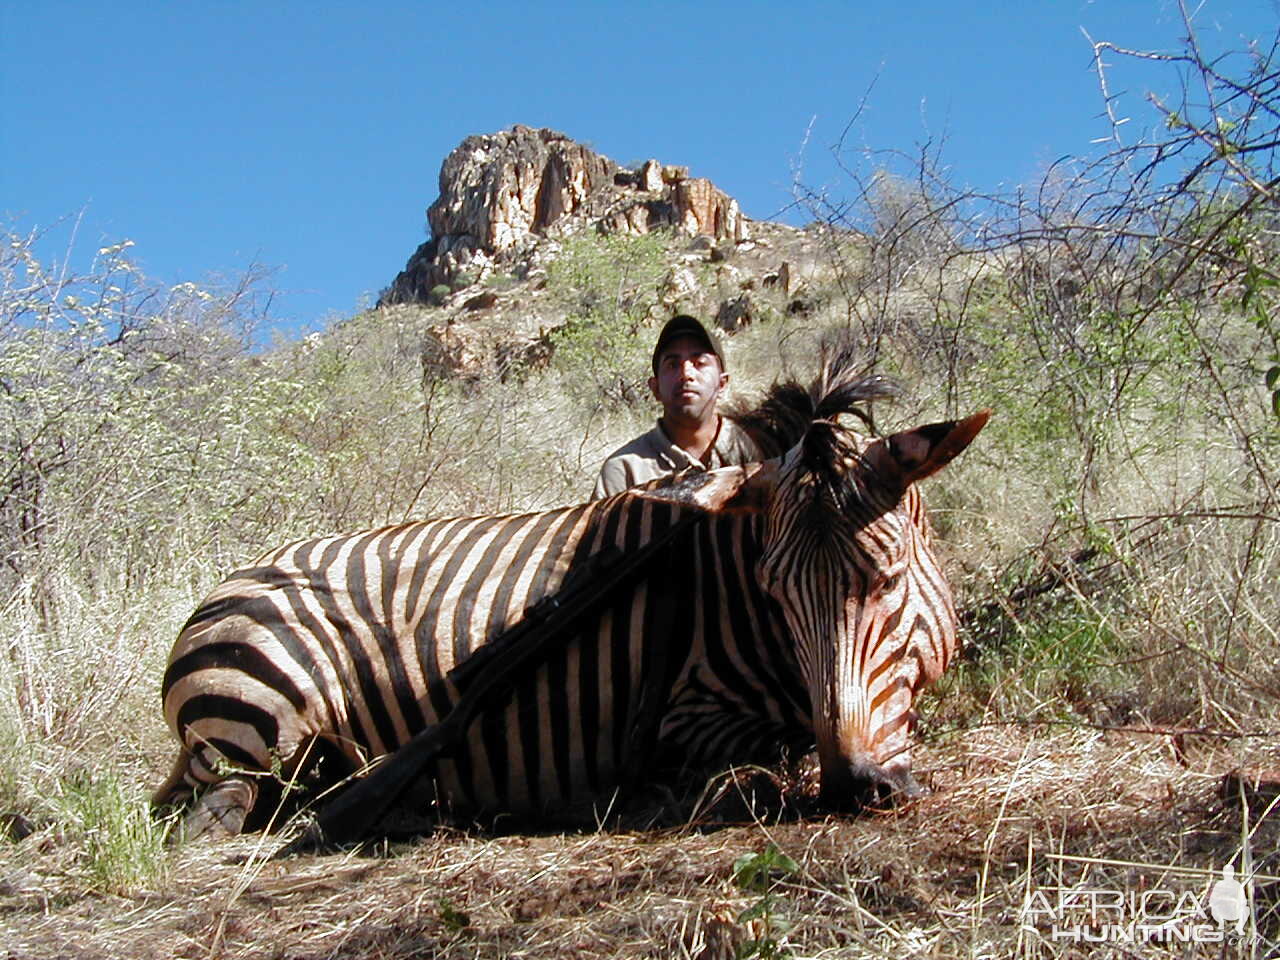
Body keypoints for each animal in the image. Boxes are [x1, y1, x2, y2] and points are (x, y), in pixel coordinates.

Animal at [152, 353, 988, 839]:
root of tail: (220, 590)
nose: (855, 789)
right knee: (218, 816)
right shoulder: (685, 718)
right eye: (775, 596)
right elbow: (772, 748)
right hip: (256, 731)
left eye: (884, 579)